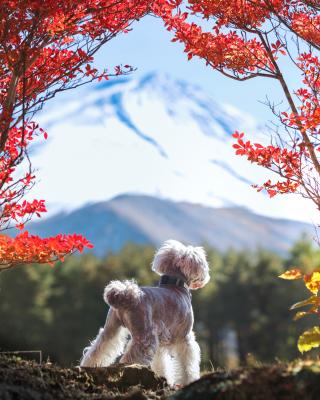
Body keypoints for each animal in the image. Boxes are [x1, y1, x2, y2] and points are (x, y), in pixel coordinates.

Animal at [80, 239, 210, 386]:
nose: (205, 277)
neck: (175, 286)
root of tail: (126, 295)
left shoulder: (160, 344)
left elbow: (161, 363)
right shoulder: (185, 338)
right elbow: (187, 363)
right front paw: (189, 380)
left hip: (110, 330)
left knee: (96, 350)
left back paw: (88, 368)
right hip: (144, 338)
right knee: (128, 360)